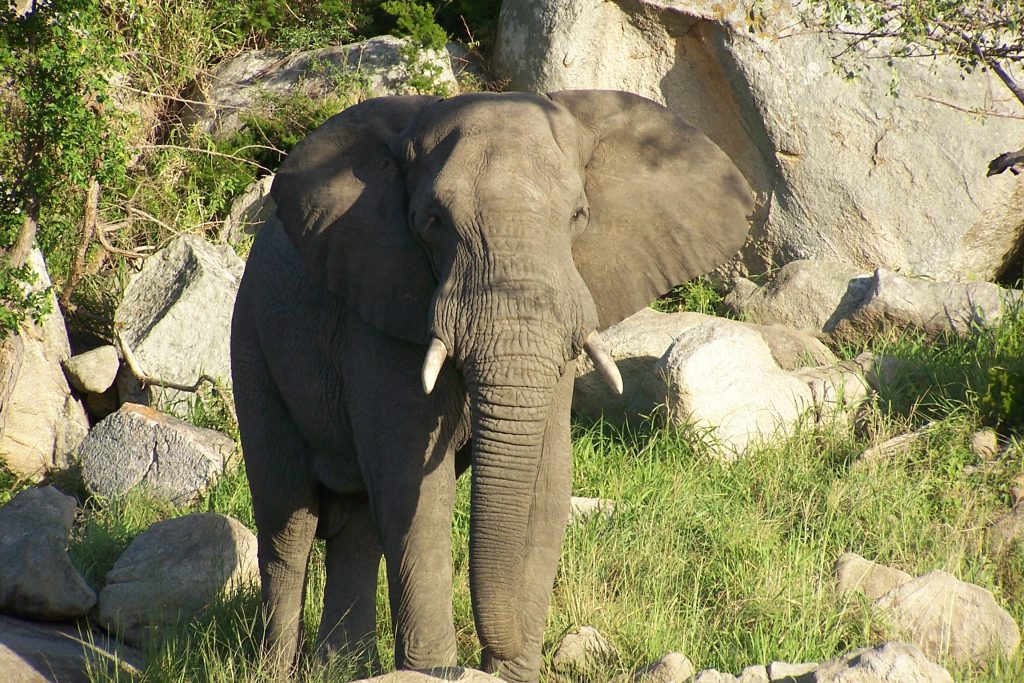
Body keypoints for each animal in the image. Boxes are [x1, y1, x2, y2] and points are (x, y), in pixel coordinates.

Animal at [232, 90, 753, 683]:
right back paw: (276, 669)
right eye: (431, 221)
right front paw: (433, 672)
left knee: (357, 528)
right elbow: (414, 488)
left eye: (579, 216)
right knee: (289, 522)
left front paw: (507, 672)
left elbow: (547, 484)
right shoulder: (380, 309)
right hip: (252, 347)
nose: (499, 656)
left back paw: (346, 668)